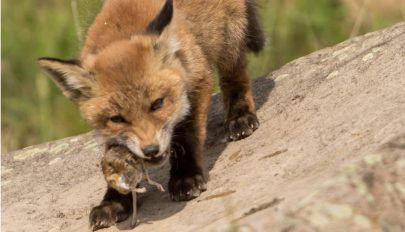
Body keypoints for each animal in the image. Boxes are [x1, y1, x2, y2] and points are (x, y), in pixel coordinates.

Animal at [38, 0, 266, 228]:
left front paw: (185, 176)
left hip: (229, 36)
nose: (150, 150)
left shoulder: (198, 79)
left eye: (157, 104)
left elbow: (188, 137)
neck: (121, 31)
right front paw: (114, 201)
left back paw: (240, 115)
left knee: (235, 76)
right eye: (117, 119)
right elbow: (114, 160)